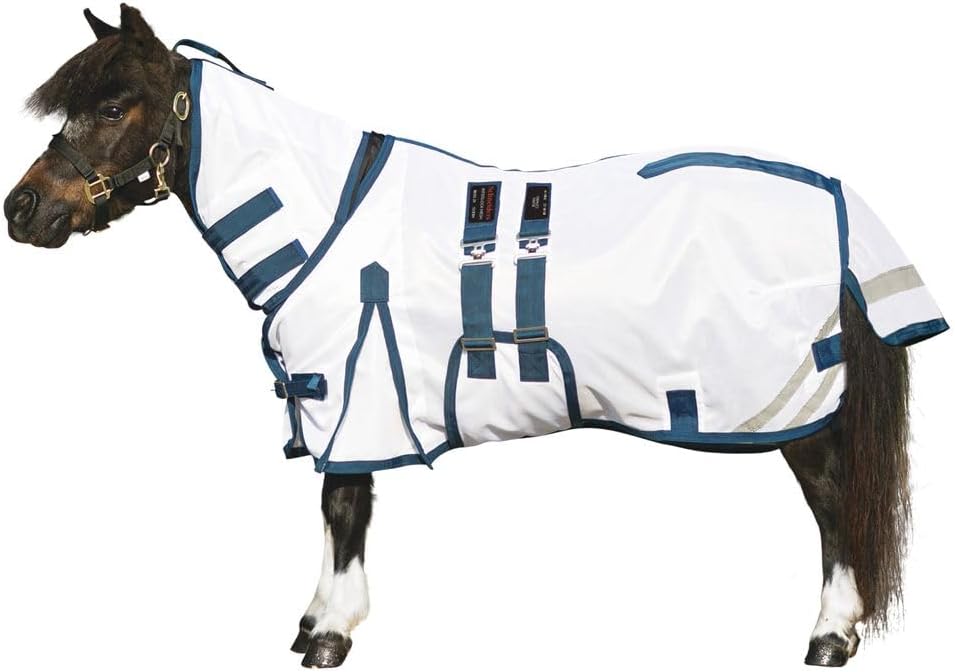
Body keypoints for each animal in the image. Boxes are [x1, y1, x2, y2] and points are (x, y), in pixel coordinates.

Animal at [5, 5, 947, 669]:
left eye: (113, 105)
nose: (23, 209)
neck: (322, 215)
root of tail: (830, 193)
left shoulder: (353, 396)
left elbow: (342, 506)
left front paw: (329, 631)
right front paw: (315, 620)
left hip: (795, 409)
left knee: (832, 504)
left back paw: (829, 636)